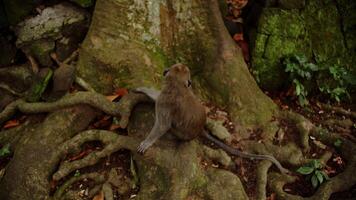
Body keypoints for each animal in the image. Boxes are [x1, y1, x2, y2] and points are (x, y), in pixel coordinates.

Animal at [135, 63, 288, 173]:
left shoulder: (165, 101)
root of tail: (200, 129)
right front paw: (143, 89)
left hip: (182, 134)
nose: (165, 70)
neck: (178, 86)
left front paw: (147, 142)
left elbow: (163, 125)